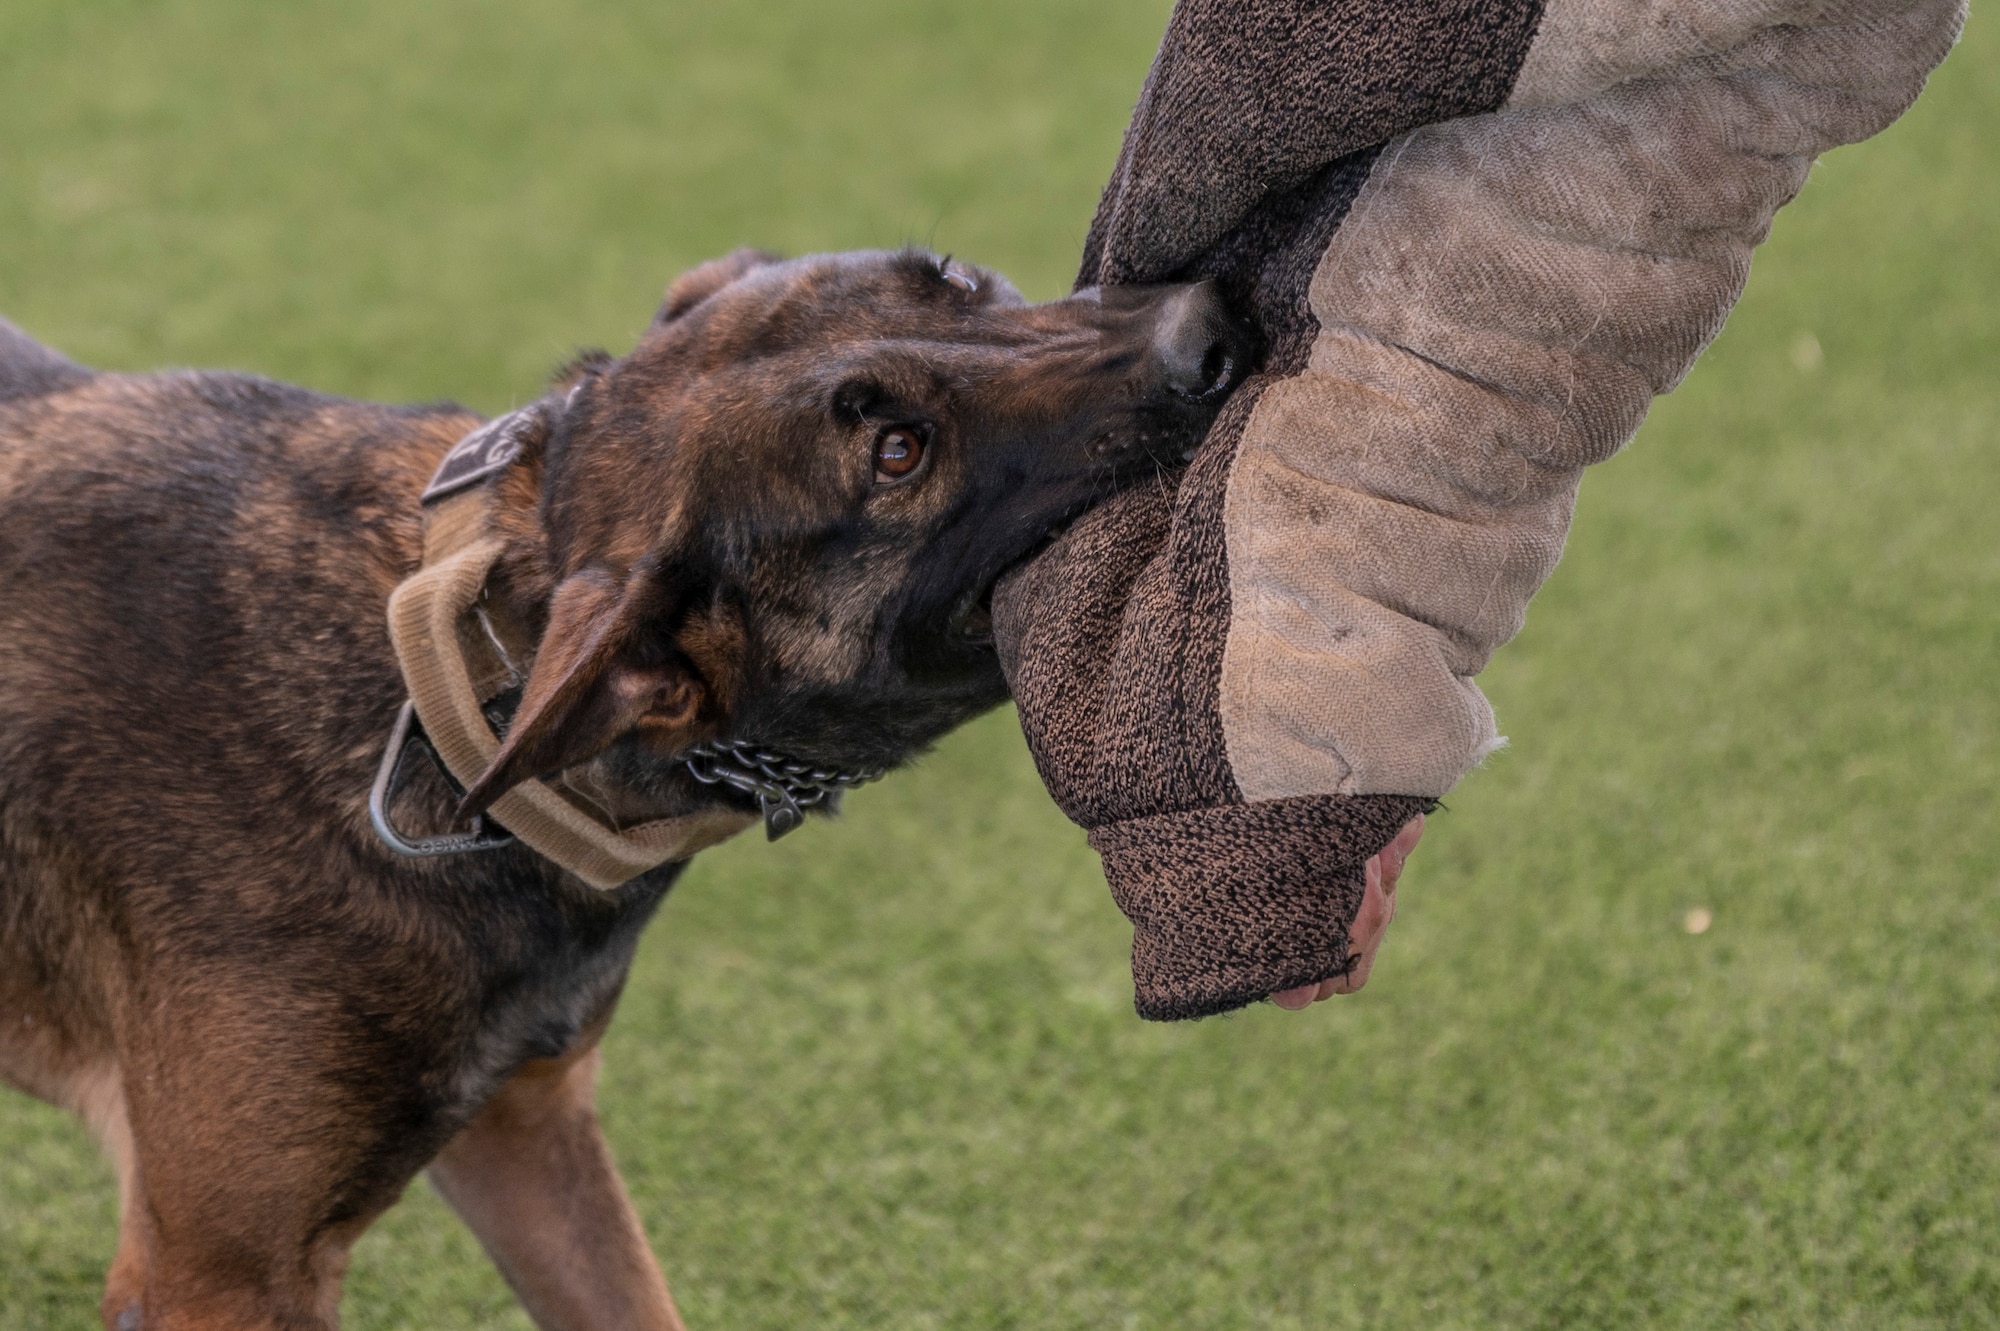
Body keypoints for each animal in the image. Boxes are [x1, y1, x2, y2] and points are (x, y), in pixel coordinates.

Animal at [0, 251, 1248, 1327]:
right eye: (898, 452)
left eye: (958, 280)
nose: (1208, 322)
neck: (461, 689)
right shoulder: (220, 1274)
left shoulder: (525, 1132)